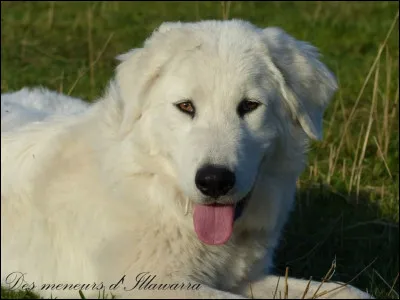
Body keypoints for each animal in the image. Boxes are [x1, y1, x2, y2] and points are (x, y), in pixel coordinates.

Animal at [1, 19, 374, 298]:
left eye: (249, 106)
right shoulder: (146, 284)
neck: (160, 196)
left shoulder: (243, 279)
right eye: (186, 107)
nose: (214, 181)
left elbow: (345, 290)